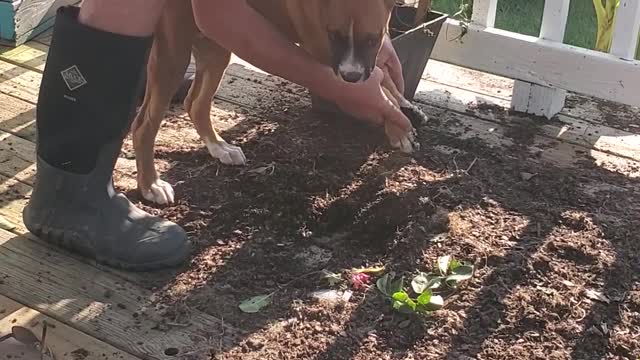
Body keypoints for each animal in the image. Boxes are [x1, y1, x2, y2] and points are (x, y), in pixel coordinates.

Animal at [132, 0, 428, 204]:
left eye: (372, 39)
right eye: (335, 35)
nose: (351, 77)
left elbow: (387, 80)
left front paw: (406, 108)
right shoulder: (323, 51)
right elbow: (382, 90)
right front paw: (397, 126)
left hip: (217, 43)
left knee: (196, 104)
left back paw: (220, 148)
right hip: (173, 55)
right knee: (144, 126)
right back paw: (151, 185)